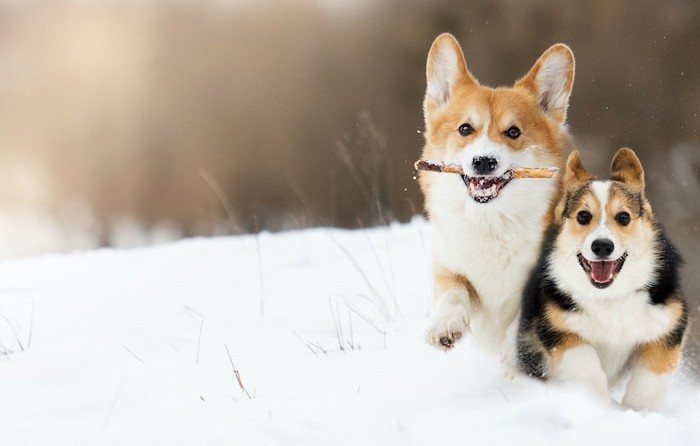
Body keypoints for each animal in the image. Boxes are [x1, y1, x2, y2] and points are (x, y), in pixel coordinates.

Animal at [422, 33, 576, 358]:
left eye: (513, 132)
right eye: (465, 129)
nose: (484, 161)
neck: (491, 222)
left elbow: (519, 319)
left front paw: (513, 355)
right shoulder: (447, 265)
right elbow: (454, 291)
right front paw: (445, 326)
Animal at [516, 149, 688, 412]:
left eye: (624, 217)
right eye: (583, 216)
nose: (603, 246)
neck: (610, 295)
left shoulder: (665, 329)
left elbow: (648, 382)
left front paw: (637, 411)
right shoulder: (560, 331)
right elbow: (585, 367)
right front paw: (599, 407)